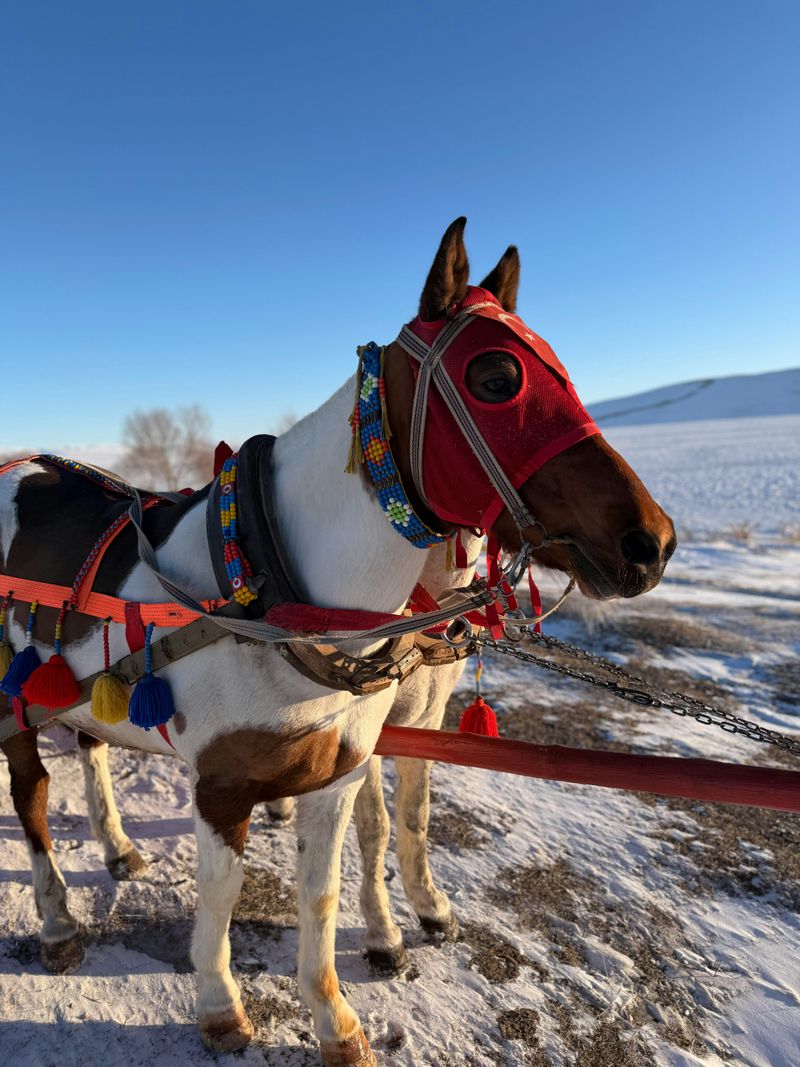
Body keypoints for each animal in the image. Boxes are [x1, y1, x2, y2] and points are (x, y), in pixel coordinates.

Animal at [0, 218, 676, 1066]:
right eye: (496, 376)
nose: (652, 540)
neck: (275, 592)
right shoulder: (221, 785)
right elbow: (222, 896)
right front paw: (220, 1005)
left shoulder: (340, 771)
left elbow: (326, 890)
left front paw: (336, 1018)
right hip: (13, 699)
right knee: (31, 793)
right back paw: (57, 917)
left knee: (90, 745)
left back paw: (117, 846)